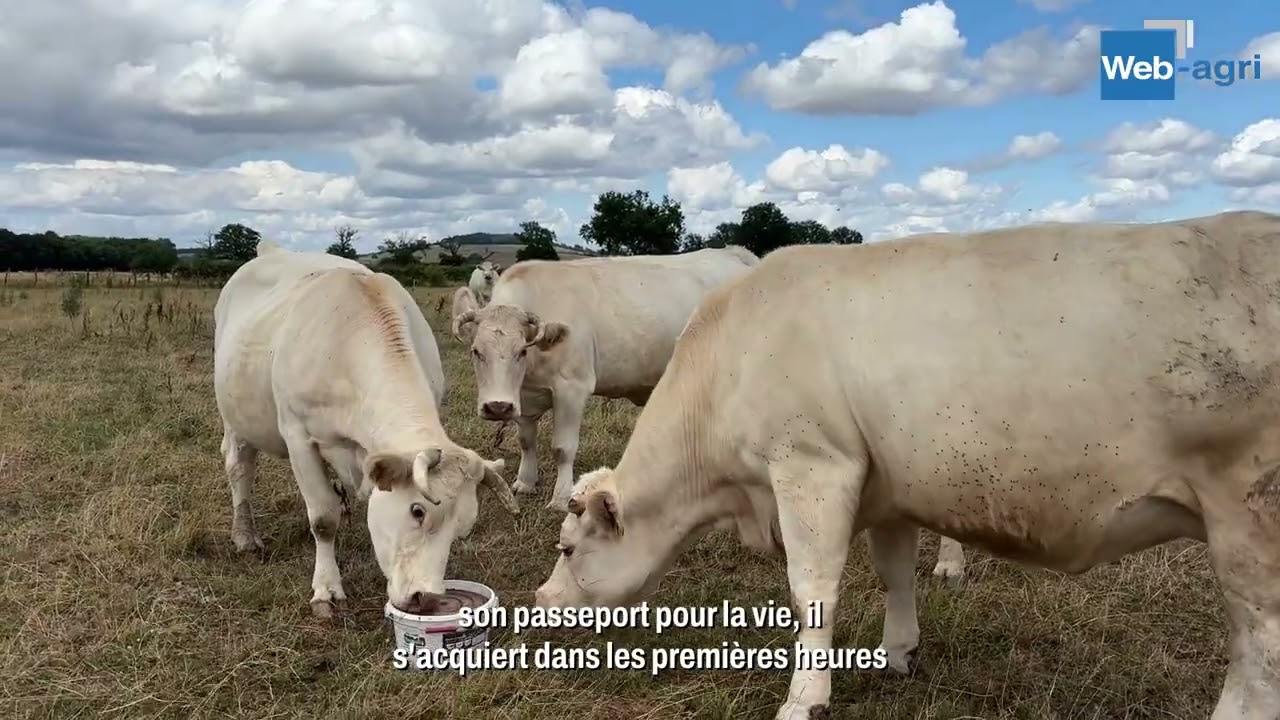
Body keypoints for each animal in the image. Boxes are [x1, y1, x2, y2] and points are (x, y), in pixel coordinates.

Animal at [213, 241, 519, 619]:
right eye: (417, 511)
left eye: (462, 528)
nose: (428, 598)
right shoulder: (298, 436)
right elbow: (323, 518)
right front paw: (326, 589)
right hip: (235, 418)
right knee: (240, 468)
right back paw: (245, 536)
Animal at [451, 246, 760, 511]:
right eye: (476, 351)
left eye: (521, 351)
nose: (497, 407)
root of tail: (735, 253)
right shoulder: (524, 395)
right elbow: (526, 440)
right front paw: (525, 483)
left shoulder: (572, 388)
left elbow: (563, 448)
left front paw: (561, 498)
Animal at [534, 211, 1280, 720]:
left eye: (569, 549)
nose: (539, 603)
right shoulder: (886, 486)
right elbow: (893, 571)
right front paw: (898, 653)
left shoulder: (812, 466)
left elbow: (812, 586)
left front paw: (805, 699)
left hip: (1250, 523)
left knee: (1259, 653)